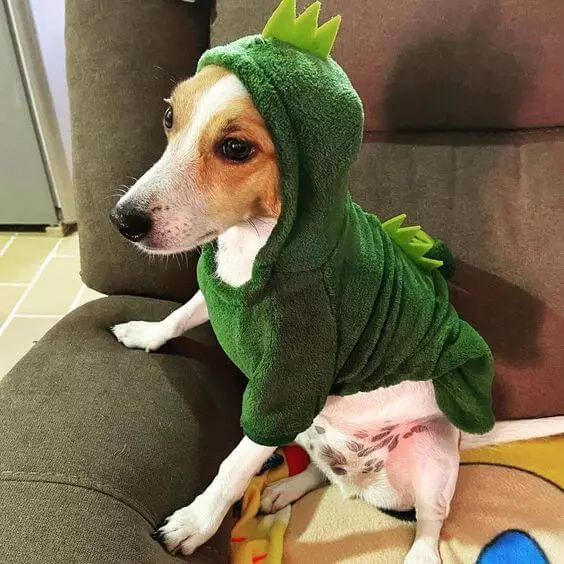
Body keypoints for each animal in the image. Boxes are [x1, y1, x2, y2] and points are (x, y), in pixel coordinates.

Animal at [110, 65, 564, 560]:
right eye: (169, 116)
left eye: (236, 148)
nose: (122, 220)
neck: (255, 249)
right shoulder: (217, 294)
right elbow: (179, 316)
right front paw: (145, 333)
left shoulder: (286, 388)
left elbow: (235, 465)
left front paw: (195, 522)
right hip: (313, 431)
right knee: (321, 470)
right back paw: (284, 489)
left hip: (430, 455)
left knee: (431, 520)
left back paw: (420, 550)